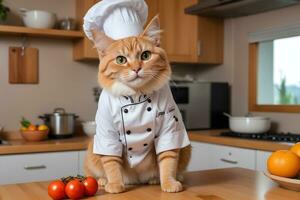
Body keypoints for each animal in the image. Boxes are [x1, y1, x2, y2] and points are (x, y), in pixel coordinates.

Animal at [84, 15, 191, 194]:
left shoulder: (169, 130)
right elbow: (111, 163)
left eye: (145, 55)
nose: (136, 69)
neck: (135, 98)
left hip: (185, 145)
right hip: (93, 146)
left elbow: (168, 160)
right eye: (121, 59)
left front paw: (169, 183)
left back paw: (160, 179)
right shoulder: (107, 135)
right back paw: (103, 180)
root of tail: (137, 180)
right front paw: (114, 184)